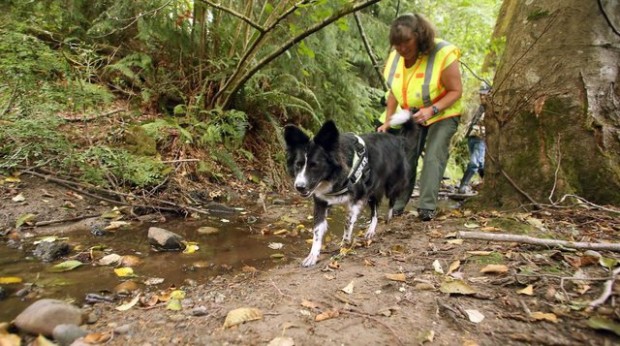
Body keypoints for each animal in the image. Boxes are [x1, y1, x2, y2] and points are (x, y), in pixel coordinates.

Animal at [284, 115, 418, 266]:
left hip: (388, 185)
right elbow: (317, 230)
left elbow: (348, 222)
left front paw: (345, 244)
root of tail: (398, 140)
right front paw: (313, 255)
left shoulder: (357, 198)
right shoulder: (320, 201)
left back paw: (384, 221)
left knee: (388, 203)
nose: (299, 187)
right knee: (375, 211)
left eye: (315, 166)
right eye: (298, 165)